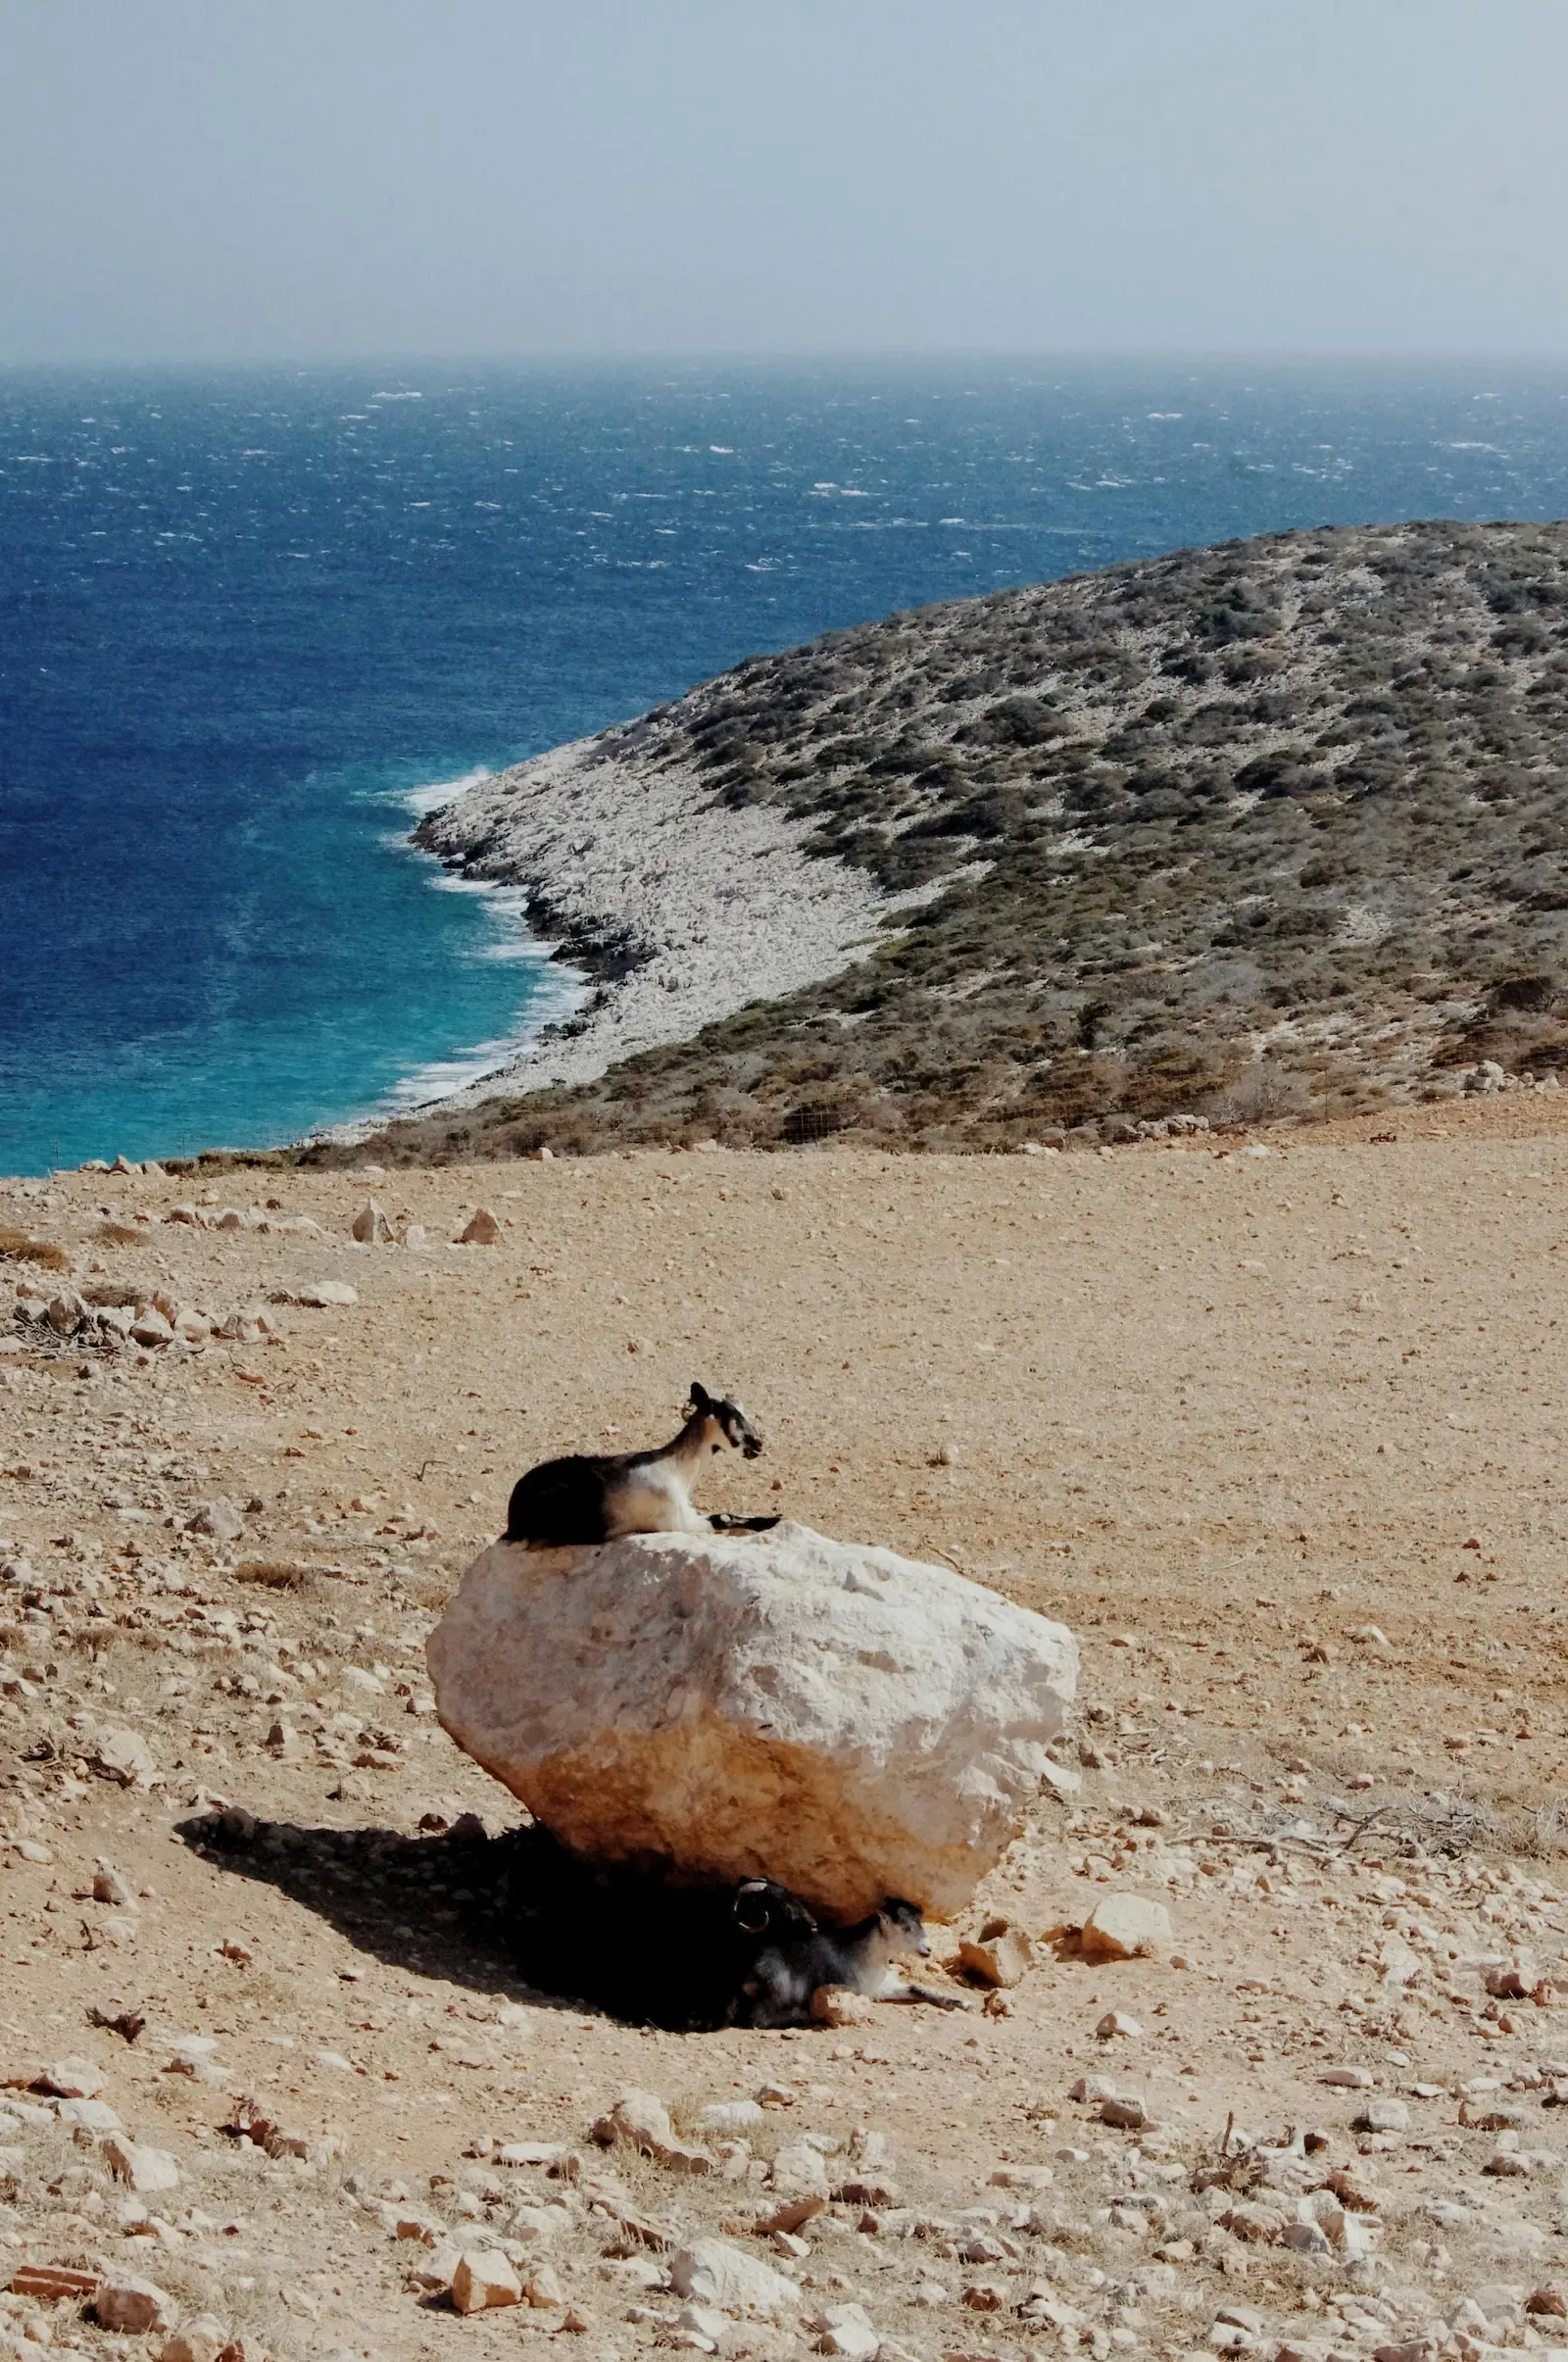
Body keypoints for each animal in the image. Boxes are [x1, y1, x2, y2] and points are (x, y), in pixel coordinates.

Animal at [505, 1382, 773, 1546]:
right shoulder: (678, 1523)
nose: (759, 1443)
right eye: (734, 1416)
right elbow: (723, 1519)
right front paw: (773, 1521)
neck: (675, 1470)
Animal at [737, 1896, 971, 2028]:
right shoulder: (863, 1990)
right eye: (906, 1928)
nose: (927, 1949)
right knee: (759, 2019)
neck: (866, 1956)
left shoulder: (881, 1987)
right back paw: (803, 2015)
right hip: (779, 1989)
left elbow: (917, 1989)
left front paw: (963, 2003)